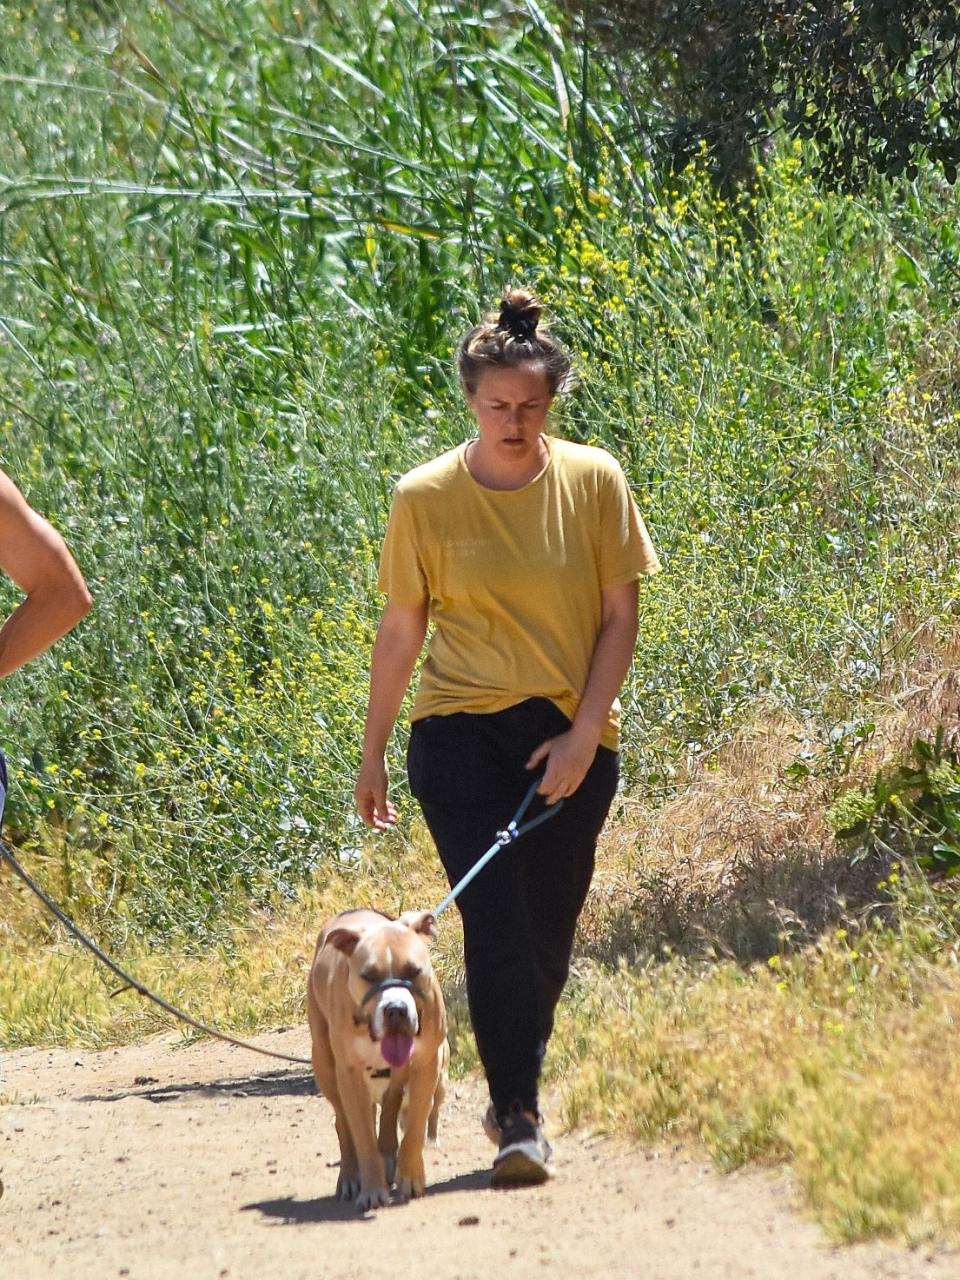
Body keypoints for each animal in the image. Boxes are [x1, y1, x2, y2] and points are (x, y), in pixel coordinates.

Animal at [308, 901, 450, 1208]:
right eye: (368, 975)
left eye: (413, 971)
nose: (395, 1009)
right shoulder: (349, 1073)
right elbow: (361, 1136)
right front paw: (372, 1189)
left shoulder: (426, 1065)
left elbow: (415, 1126)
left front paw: (410, 1177)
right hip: (324, 1065)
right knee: (342, 1121)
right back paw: (351, 1175)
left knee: (390, 1108)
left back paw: (388, 1154)